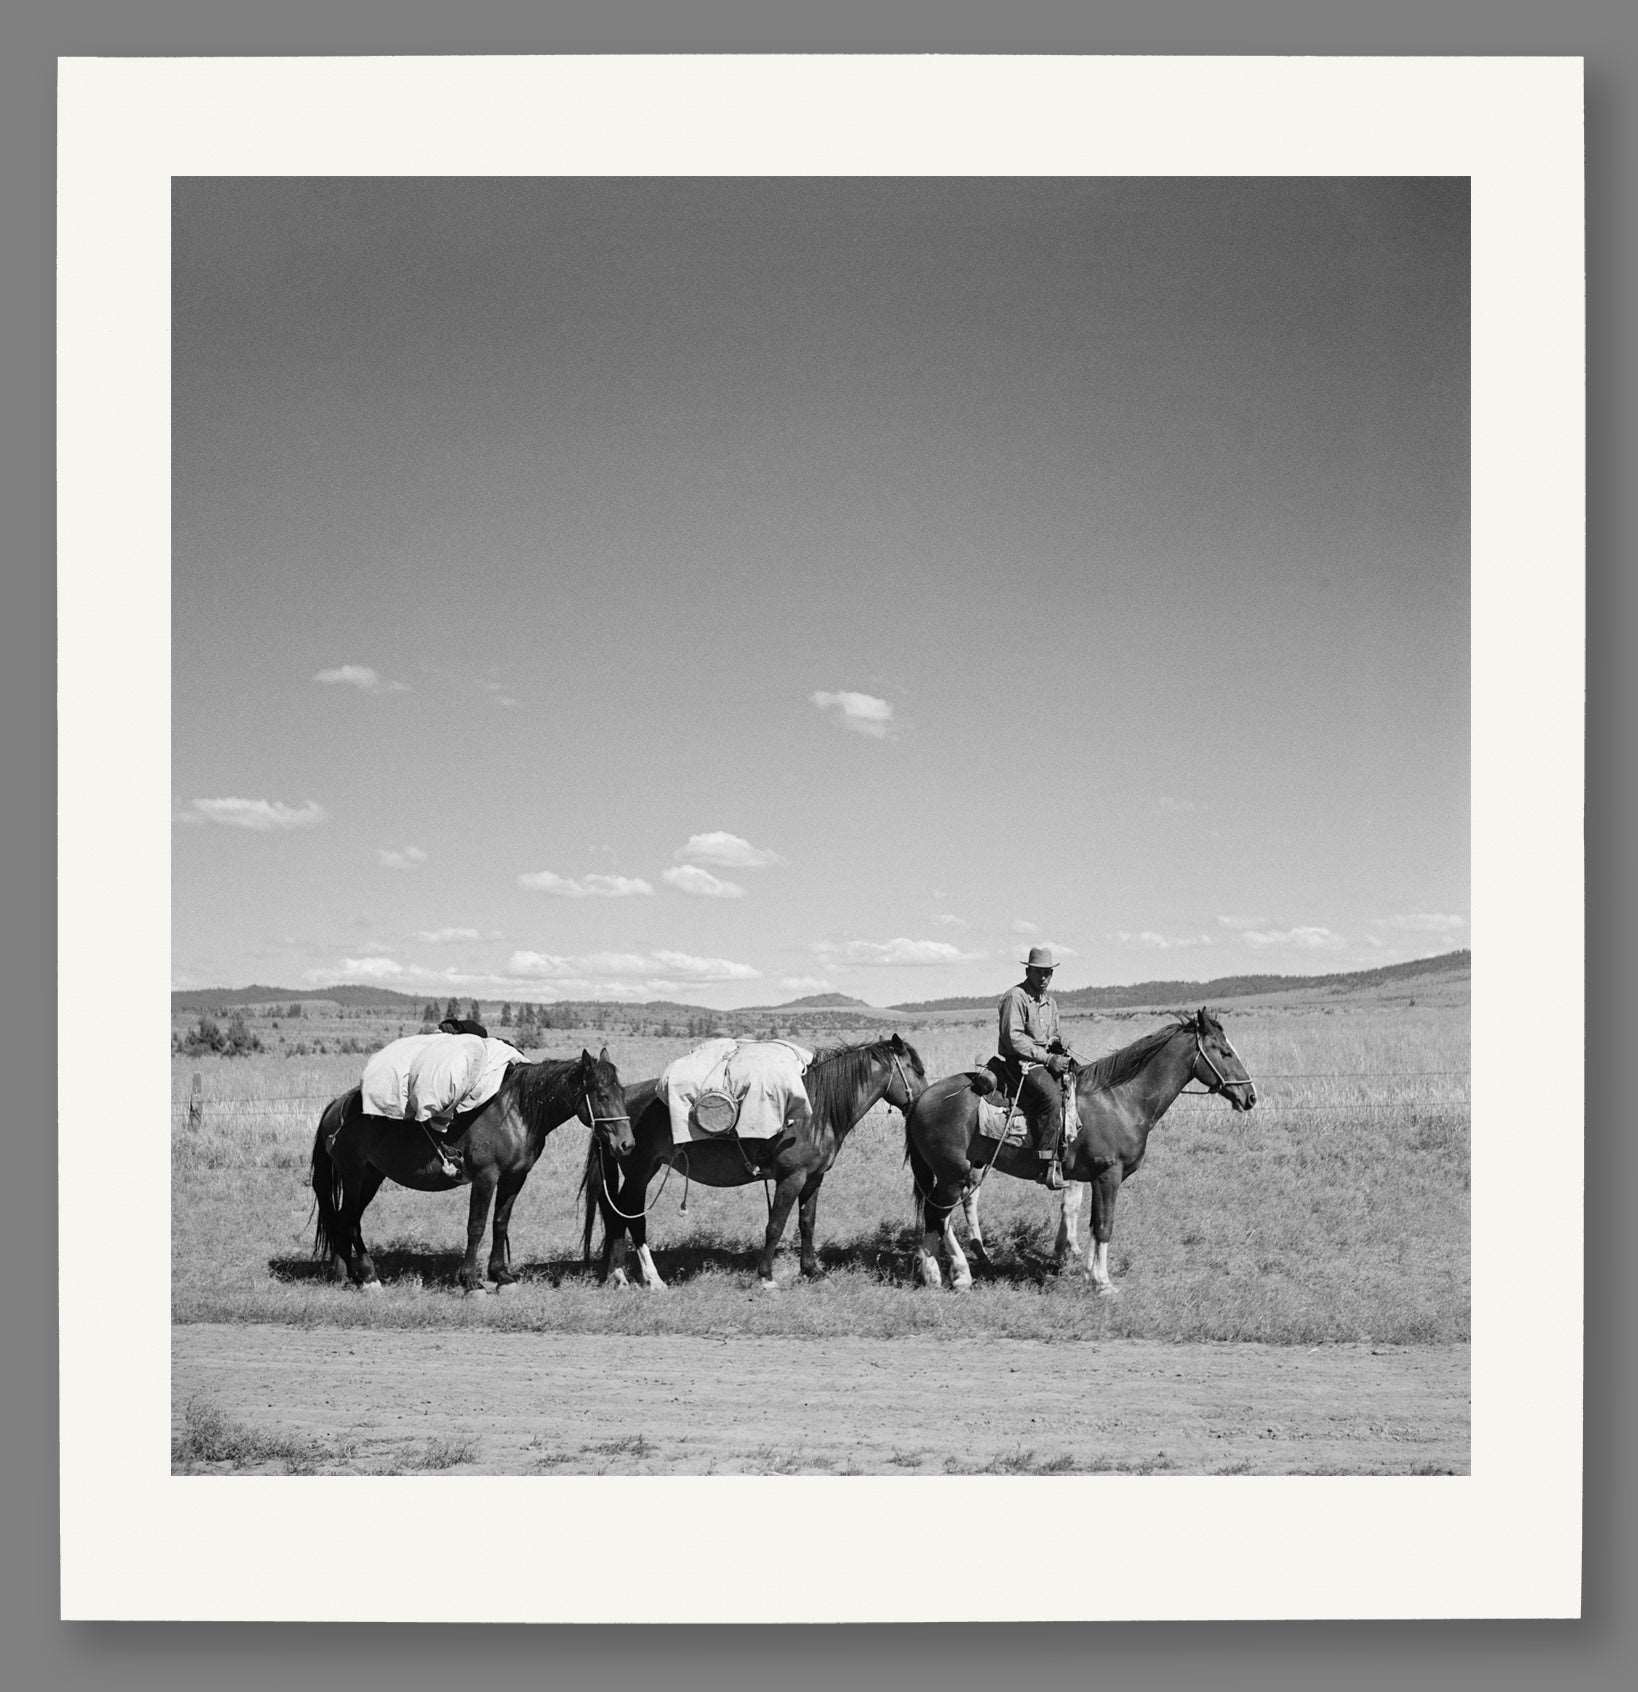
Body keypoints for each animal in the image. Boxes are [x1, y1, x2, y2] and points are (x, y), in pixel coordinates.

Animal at [307, 1042, 632, 1292]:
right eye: (602, 1095)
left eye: (622, 1093)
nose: (626, 1144)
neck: (515, 1113)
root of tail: (337, 1105)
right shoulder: (486, 1178)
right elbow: (476, 1226)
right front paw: (471, 1282)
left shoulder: (514, 1178)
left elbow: (500, 1222)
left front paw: (502, 1276)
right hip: (354, 1175)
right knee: (349, 1220)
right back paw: (368, 1277)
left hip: (371, 1177)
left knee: (345, 1219)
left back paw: (345, 1275)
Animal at [582, 1028, 927, 1292]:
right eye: (918, 1070)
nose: (925, 1101)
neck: (815, 1111)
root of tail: (619, 1104)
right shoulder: (791, 1178)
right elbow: (775, 1225)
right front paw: (765, 1277)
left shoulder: (814, 1178)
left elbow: (807, 1223)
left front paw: (813, 1272)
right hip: (639, 1170)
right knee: (628, 1214)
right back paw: (635, 1277)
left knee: (620, 1213)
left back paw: (621, 1274)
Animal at [900, 1001, 1258, 1292]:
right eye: (1224, 1051)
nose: (1250, 1096)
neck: (1120, 1100)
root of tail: (923, 1098)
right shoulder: (1108, 1175)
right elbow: (1104, 1225)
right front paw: (1102, 1282)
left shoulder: (1092, 1178)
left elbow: (1089, 1222)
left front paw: (1087, 1272)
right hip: (952, 1174)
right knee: (937, 1217)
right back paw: (950, 1275)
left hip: (961, 1172)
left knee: (939, 1216)